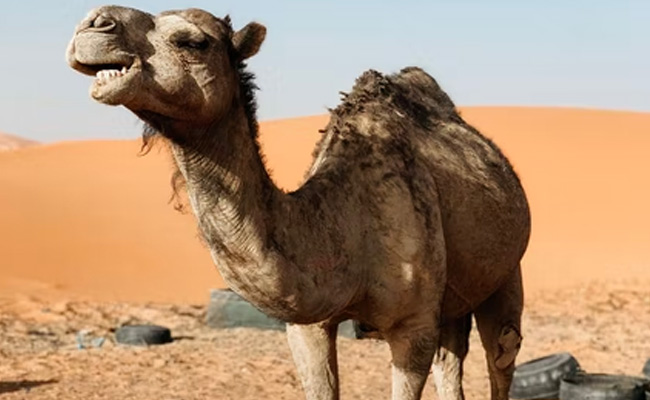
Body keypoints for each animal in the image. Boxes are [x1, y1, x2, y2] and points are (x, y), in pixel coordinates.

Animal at [66, 6, 531, 400]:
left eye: (192, 41)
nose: (94, 23)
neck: (348, 231)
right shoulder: (307, 325)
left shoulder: (412, 326)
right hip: (455, 297)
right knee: (452, 358)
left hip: (507, 271)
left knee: (502, 353)